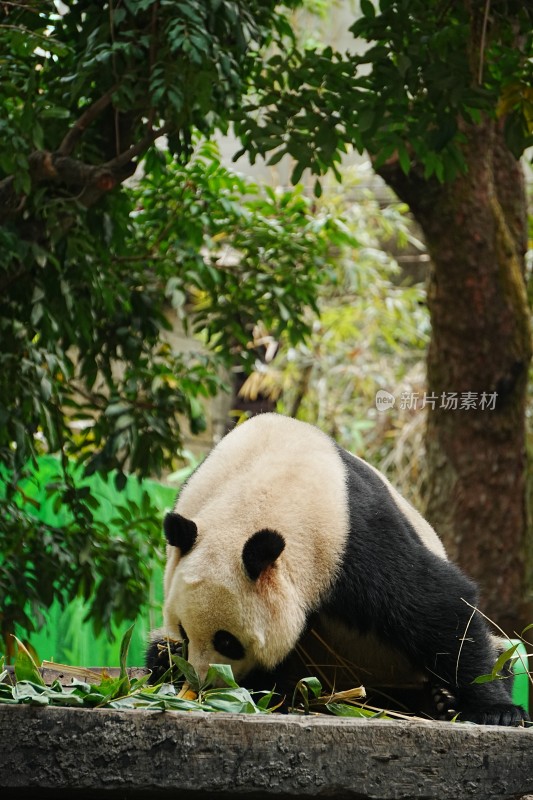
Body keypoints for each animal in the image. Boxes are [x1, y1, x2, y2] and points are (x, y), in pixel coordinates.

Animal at [147, 412, 528, 724]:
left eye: (227, 641)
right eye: (184, 631)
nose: (203, 681)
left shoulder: (350, 537)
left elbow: (438, 604)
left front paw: (495, 709)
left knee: (500, 651)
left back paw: (442, 700)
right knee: (156, 648)